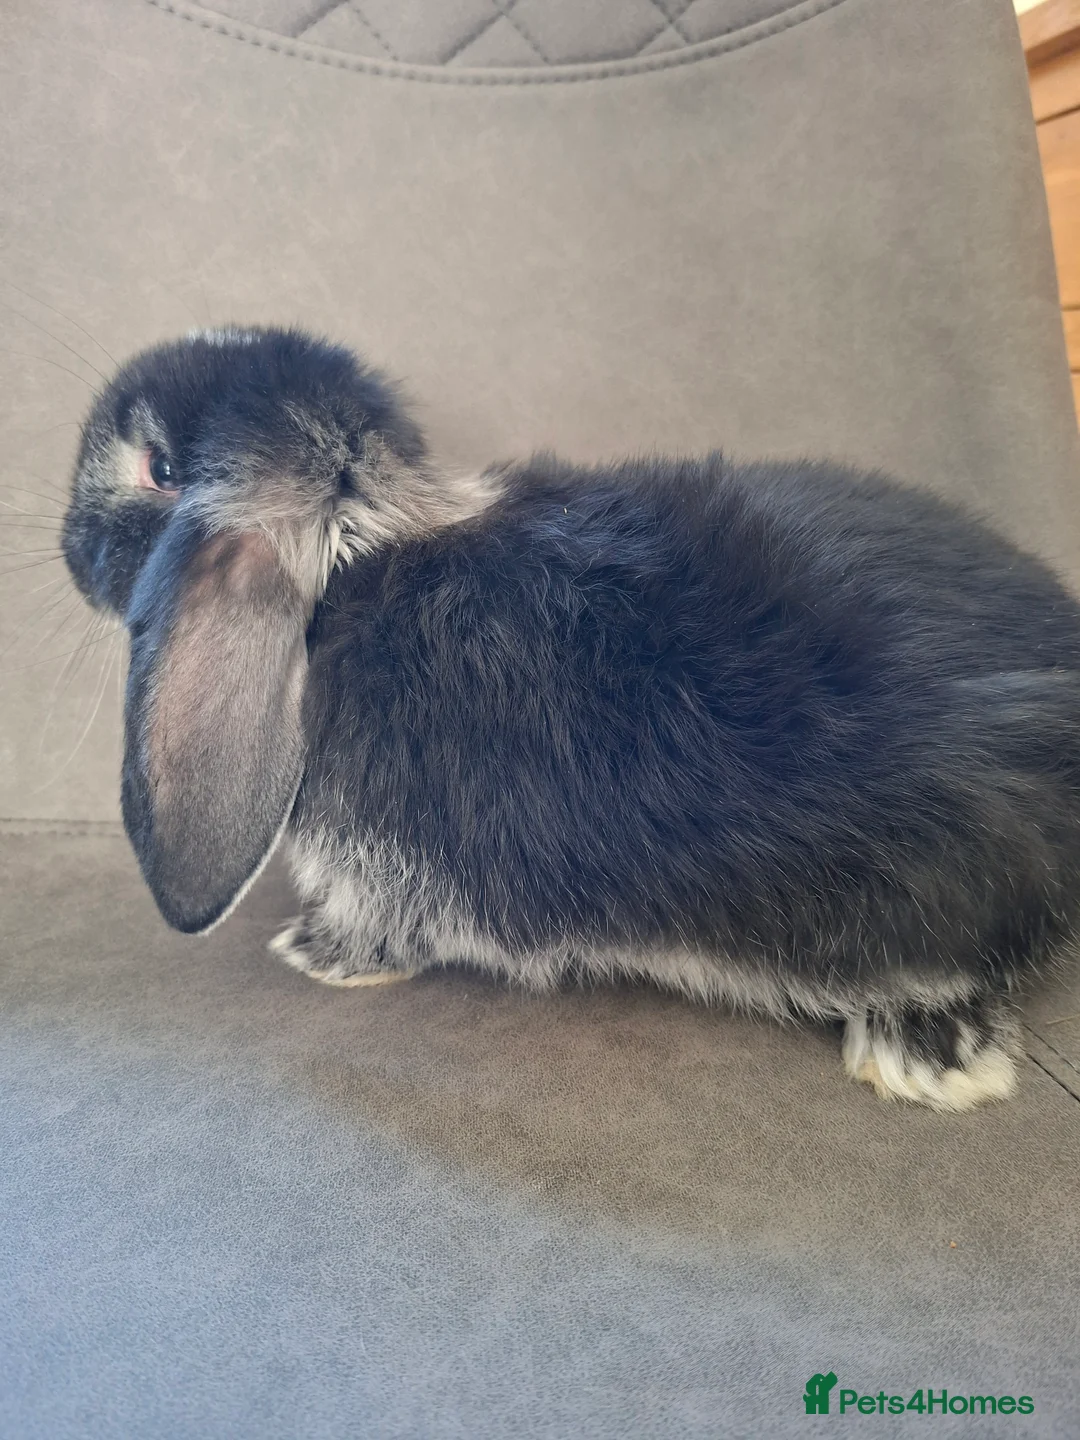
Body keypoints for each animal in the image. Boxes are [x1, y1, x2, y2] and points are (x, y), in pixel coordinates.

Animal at [60, 325, 1080, 1112]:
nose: (68, 547)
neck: (364, 564)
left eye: (156, 469)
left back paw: (927, 1057)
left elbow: (386, 923)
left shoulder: (399, 874)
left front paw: (315, 952)